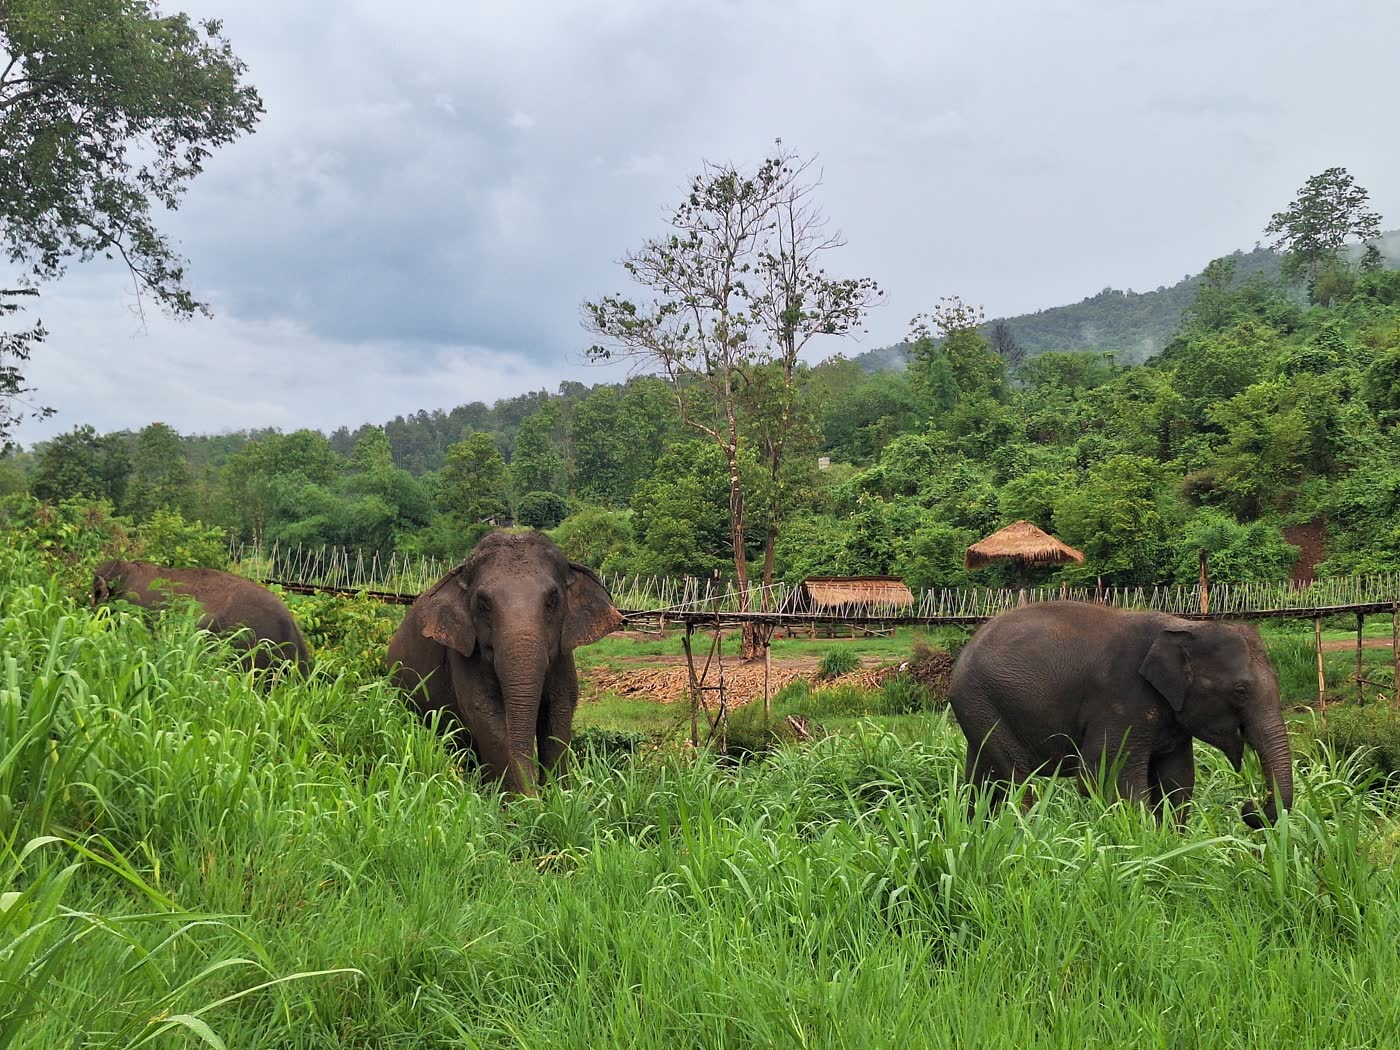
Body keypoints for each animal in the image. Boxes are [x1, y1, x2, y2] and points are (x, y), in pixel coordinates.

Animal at [386, 530, 623, 795]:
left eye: (552, 600)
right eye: (483, 604)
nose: (535, 790)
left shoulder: (563, 654)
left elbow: (560, 706)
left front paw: (558, 795)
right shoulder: (465, 653)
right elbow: (484, 711)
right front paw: (520, 800)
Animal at [947, 601, 1292, 828]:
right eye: (1240, 691)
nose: (1250, 808)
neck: (1184, 625)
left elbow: (1178, 782)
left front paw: (1170, 842)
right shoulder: (1121, 699)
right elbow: (1108, 778)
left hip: (980, 709)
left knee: (982, 779)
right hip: (981, 701)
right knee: (1016, 780)